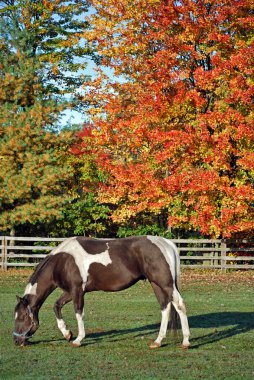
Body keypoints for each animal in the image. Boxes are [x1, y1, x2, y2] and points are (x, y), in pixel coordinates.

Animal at [12, 236, 190, 348]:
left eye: (21, 317)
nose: (16, 341)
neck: (62, 261)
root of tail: (167, 243)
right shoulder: (70, 291)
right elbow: (56, 306)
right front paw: (67, 333)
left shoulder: (77, 290)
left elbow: (78, 313)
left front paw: (78, 339)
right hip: (156, 284)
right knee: (165, 307)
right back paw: (158, 341)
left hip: (165, 283)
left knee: (179, 305)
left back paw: (186, 342)